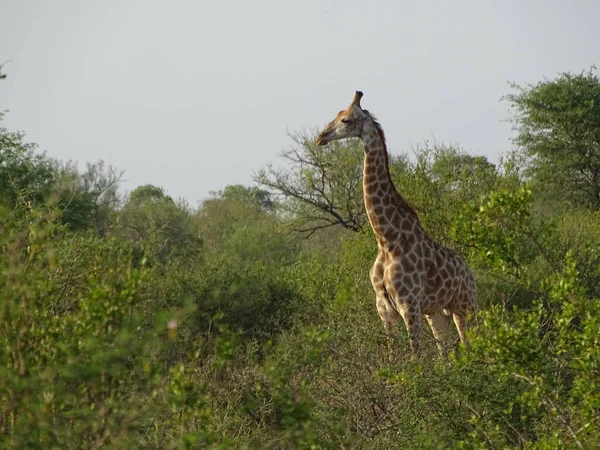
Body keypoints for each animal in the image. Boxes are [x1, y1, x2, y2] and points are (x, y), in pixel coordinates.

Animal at [314, 91, 478, 356]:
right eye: (337, 115)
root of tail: (471, 274)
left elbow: (415, 356)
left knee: (471, 344)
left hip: (465, 307)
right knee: (445, 352)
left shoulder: (408, 306)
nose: (321, 137)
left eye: (346, 120)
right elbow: (392, 356)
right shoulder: (384, 310)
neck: (386, 240)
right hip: (437, 313)